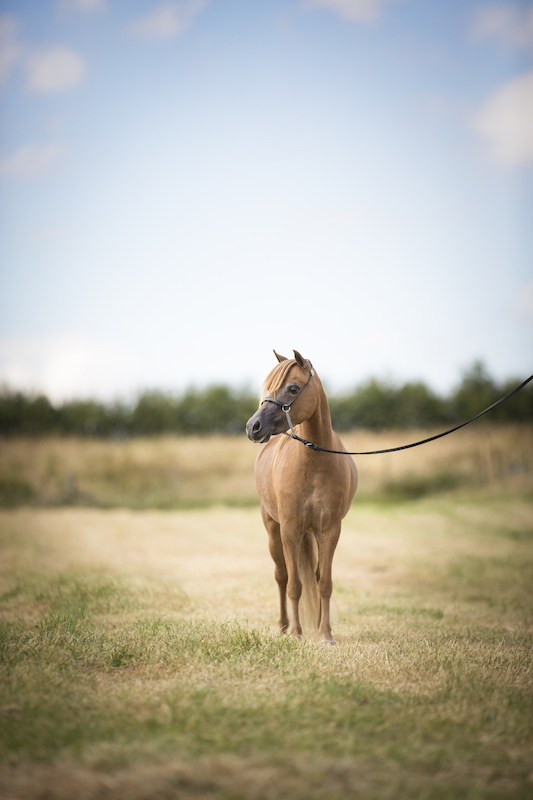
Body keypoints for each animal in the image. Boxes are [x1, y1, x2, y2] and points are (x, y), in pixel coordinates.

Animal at [246, 350, 357, 644]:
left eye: (293, 388)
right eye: (269, 388)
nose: (253, 427)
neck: (314, 462)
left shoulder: (330, 530)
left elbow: (324, 583)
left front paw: (326, 634)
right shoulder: (290, 529)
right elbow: (294, 584)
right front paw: (296, 633)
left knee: (315, 577)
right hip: (273, 531)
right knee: (282, 577)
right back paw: (284, 626)